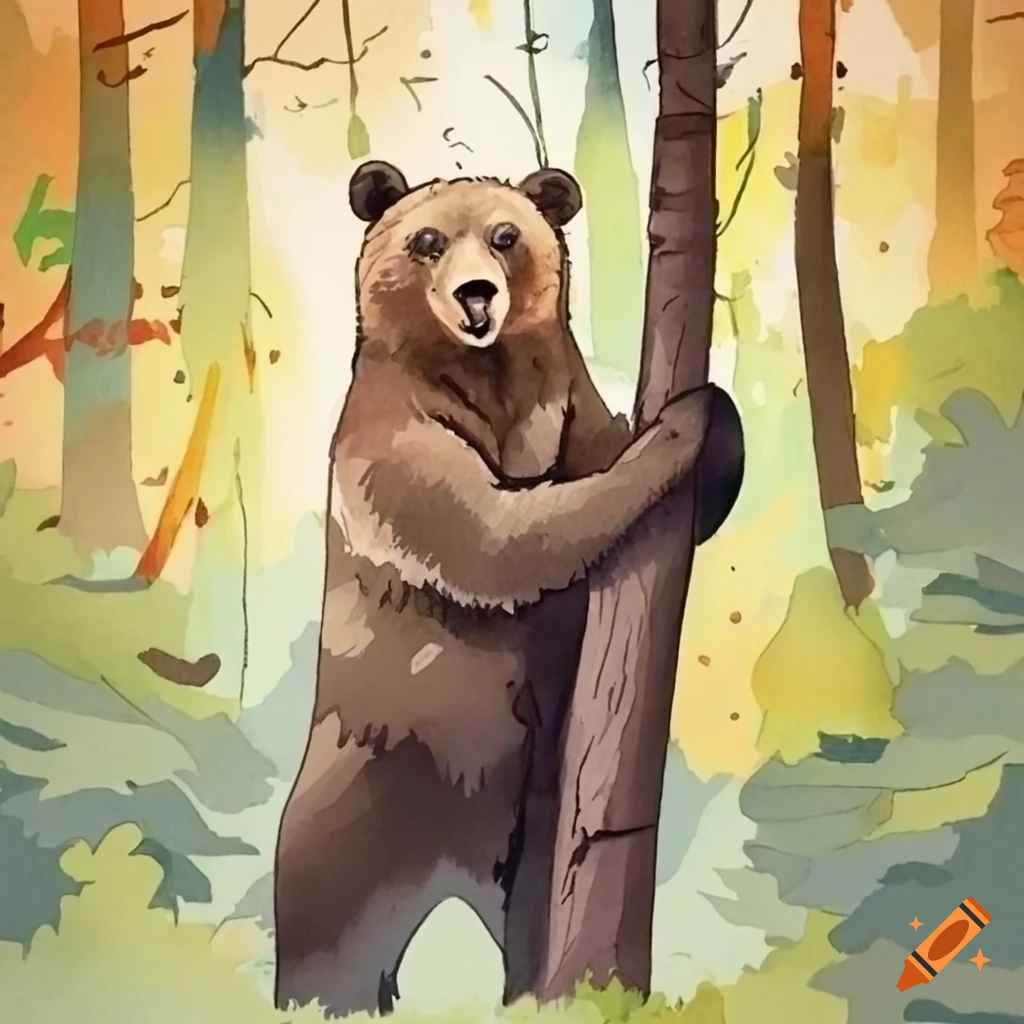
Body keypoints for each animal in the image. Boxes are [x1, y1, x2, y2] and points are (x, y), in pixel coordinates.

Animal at [273, 160, 744, 1018]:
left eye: (504, 236)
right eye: (427, 241)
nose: (476, 296)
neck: (485, 379)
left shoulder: (564, 406)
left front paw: (712, 412)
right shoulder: (393, 443)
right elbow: (503, 538)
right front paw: (680, 426)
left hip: (529, 834)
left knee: (529, 927)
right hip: (361, 806)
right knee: (330, 961)